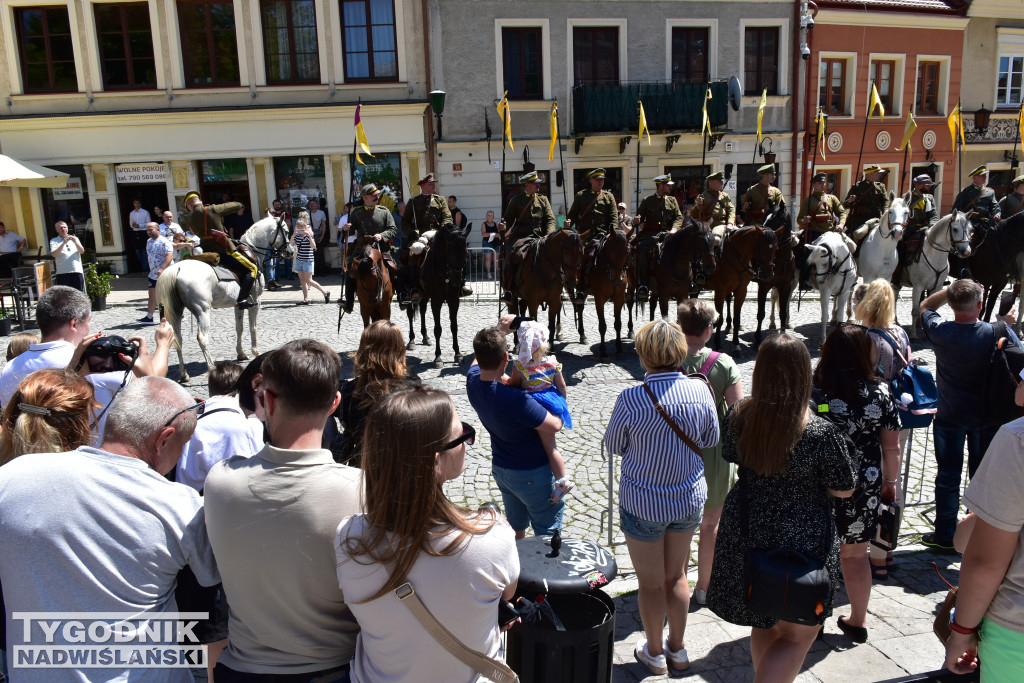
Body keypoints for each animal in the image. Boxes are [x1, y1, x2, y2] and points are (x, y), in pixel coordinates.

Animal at [155, 215, 294, 382]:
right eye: (285, 230)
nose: (290, 251)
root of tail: (177, 268)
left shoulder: (239, 304)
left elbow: (239, 328)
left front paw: (241, 353)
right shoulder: (255, 301)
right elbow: (252, 327)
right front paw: (256, 352)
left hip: (177, 311)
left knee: (177, 338)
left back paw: (184, 374)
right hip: (203, 311)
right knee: (202, 339)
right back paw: (211, 369)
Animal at [573, 229, 626, 358]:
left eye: (627, 250)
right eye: (611, 251)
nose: (618, 279)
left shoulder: (619, 299)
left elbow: (618, 324)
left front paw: (619, 348)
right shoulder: (599, 299)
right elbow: (602, 326)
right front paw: (603, 351)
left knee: (580, 309)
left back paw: (582, 336)